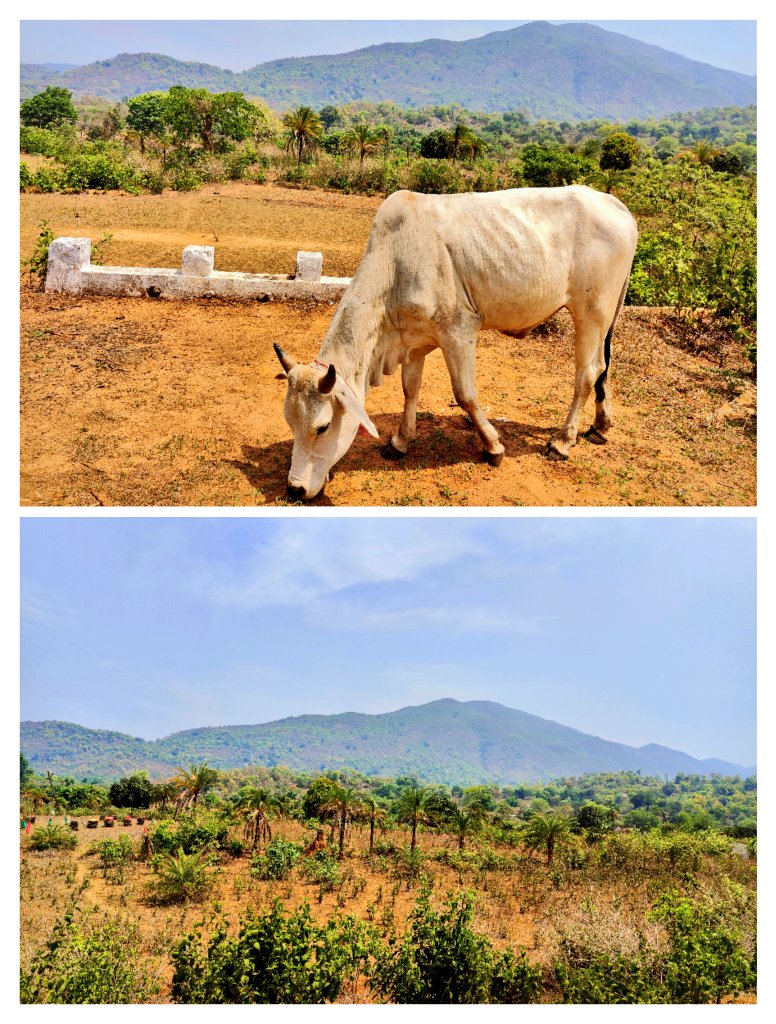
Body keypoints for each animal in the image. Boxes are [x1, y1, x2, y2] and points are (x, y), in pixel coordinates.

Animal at [274, 187, 638, 503]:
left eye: (322, 427)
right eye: (290, 422)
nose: (295, 489)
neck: (395, 264)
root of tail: (617, 206)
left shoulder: (458, 331)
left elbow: (465, 394)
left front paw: (493, 446)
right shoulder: (414, 341)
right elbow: (410, 390)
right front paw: (401, 441)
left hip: (591, 313)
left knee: (587, 374)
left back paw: (562, 442)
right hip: (604, 319)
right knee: (603, 368)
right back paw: (600, 426)